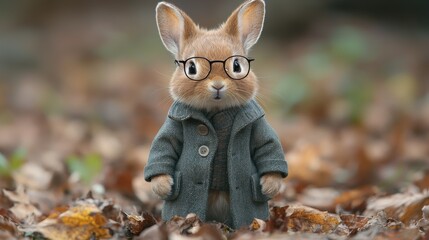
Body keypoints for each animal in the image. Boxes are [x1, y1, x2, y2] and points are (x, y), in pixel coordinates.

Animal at [144, 0, 288, 229]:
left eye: (236, 65)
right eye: (191, 68)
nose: (218, 85)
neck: (216, 111)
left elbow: (267, 147)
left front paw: (270, 185)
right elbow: (164, 148)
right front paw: (163, 186)